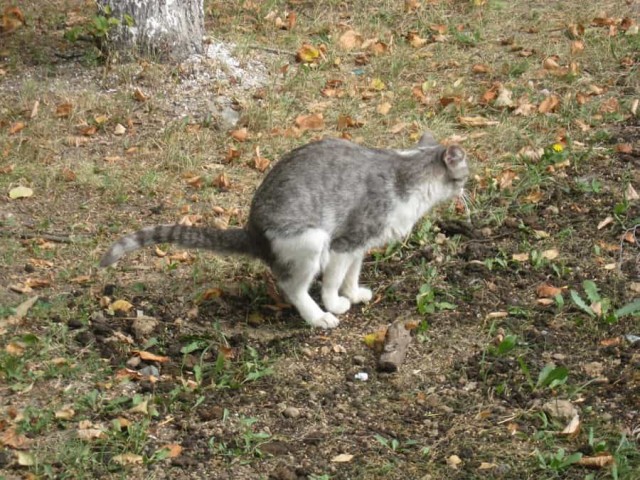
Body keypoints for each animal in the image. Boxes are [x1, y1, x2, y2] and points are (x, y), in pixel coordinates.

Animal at [101, 133, 470, 332]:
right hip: (311, 240)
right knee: (292, 286)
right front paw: (335, 303)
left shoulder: (360, 245)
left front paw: (353, 294)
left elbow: (352, 274)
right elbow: (333, 280)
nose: (470, 187)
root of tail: (252, 230)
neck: (406, 173)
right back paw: (318, 317)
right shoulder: (342, 242)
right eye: (466, 174)